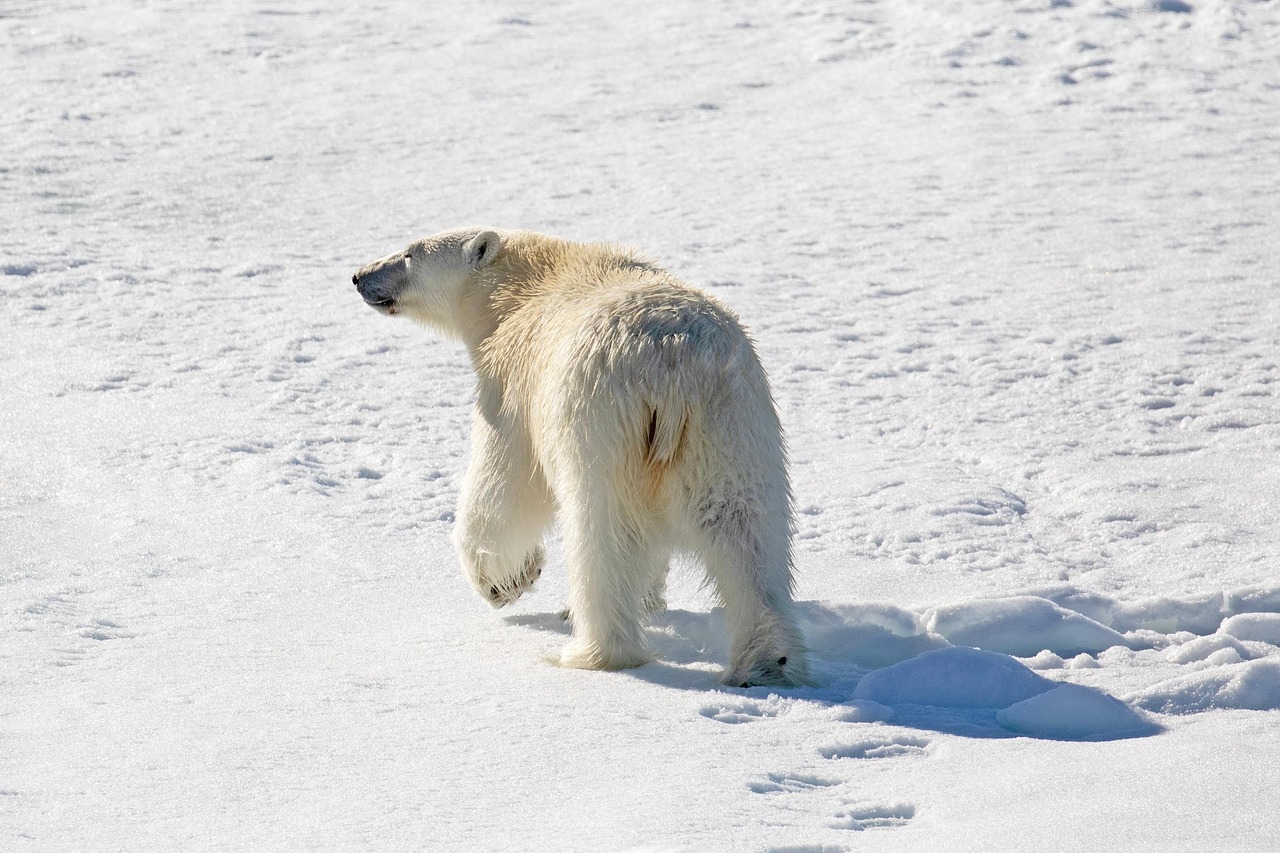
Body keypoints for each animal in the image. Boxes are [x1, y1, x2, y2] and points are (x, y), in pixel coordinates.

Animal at [352, 228, 809, 687]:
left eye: (408, 254)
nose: (359, 276)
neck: (525, 285)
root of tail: (671, 363)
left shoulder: (512, 386)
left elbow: (502, 486)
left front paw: (507, 581)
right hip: (730, 425)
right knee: (745, 531)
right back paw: (766, 661)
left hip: (601, 423)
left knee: (604, 536)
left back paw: (593, 650)